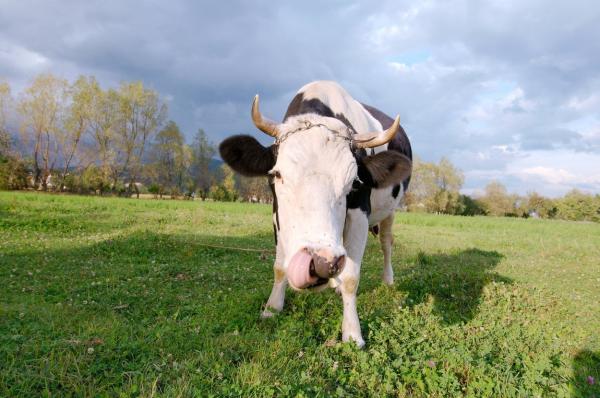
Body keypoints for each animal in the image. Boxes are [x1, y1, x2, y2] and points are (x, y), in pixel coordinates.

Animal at [219, 80, 412, 346]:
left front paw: (352, 332)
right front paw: (272, 307)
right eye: (277, 174)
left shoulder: (360, 213)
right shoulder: (276, 212)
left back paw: (387, 280)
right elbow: (279, 266)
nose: (321, 263)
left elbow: (351, 277)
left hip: (390, 210)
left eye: (354, 182)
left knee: (386, 242)